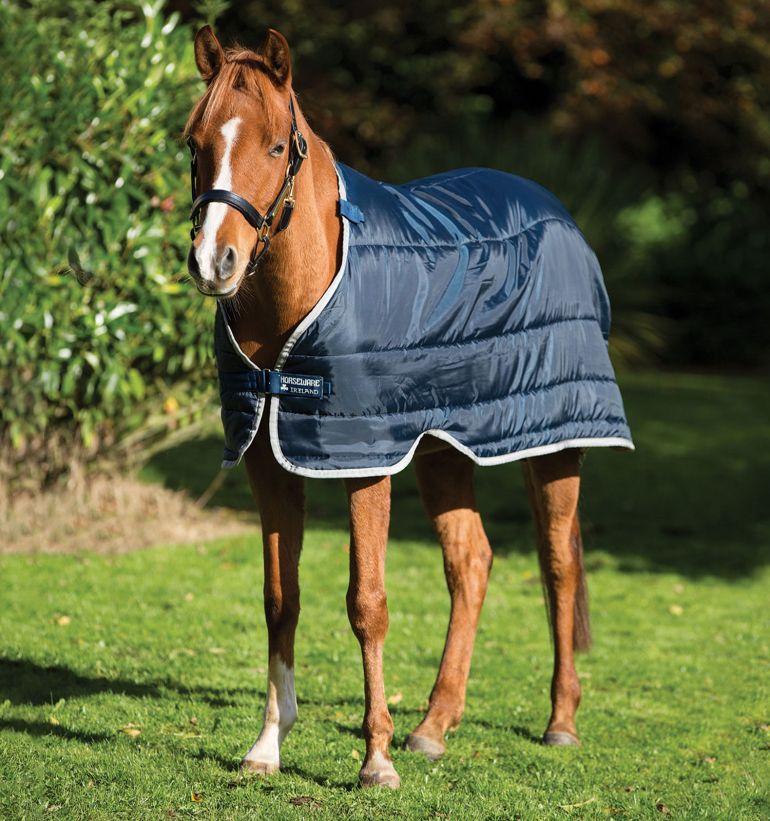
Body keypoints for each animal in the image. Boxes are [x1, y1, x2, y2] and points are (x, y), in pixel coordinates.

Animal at [183, 25, 632, 789]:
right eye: (195, 143)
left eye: (274, 146)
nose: (216, 262)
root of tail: (556, 211)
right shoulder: (269, 462)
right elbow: (281, 599)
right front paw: (267, 746)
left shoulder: (365, 462)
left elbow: (367, 603)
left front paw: (375, 760)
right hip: (443, 450)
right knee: (471, 563)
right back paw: (434, 726)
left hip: (554, 441)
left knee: (558, 566)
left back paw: (560, 722)